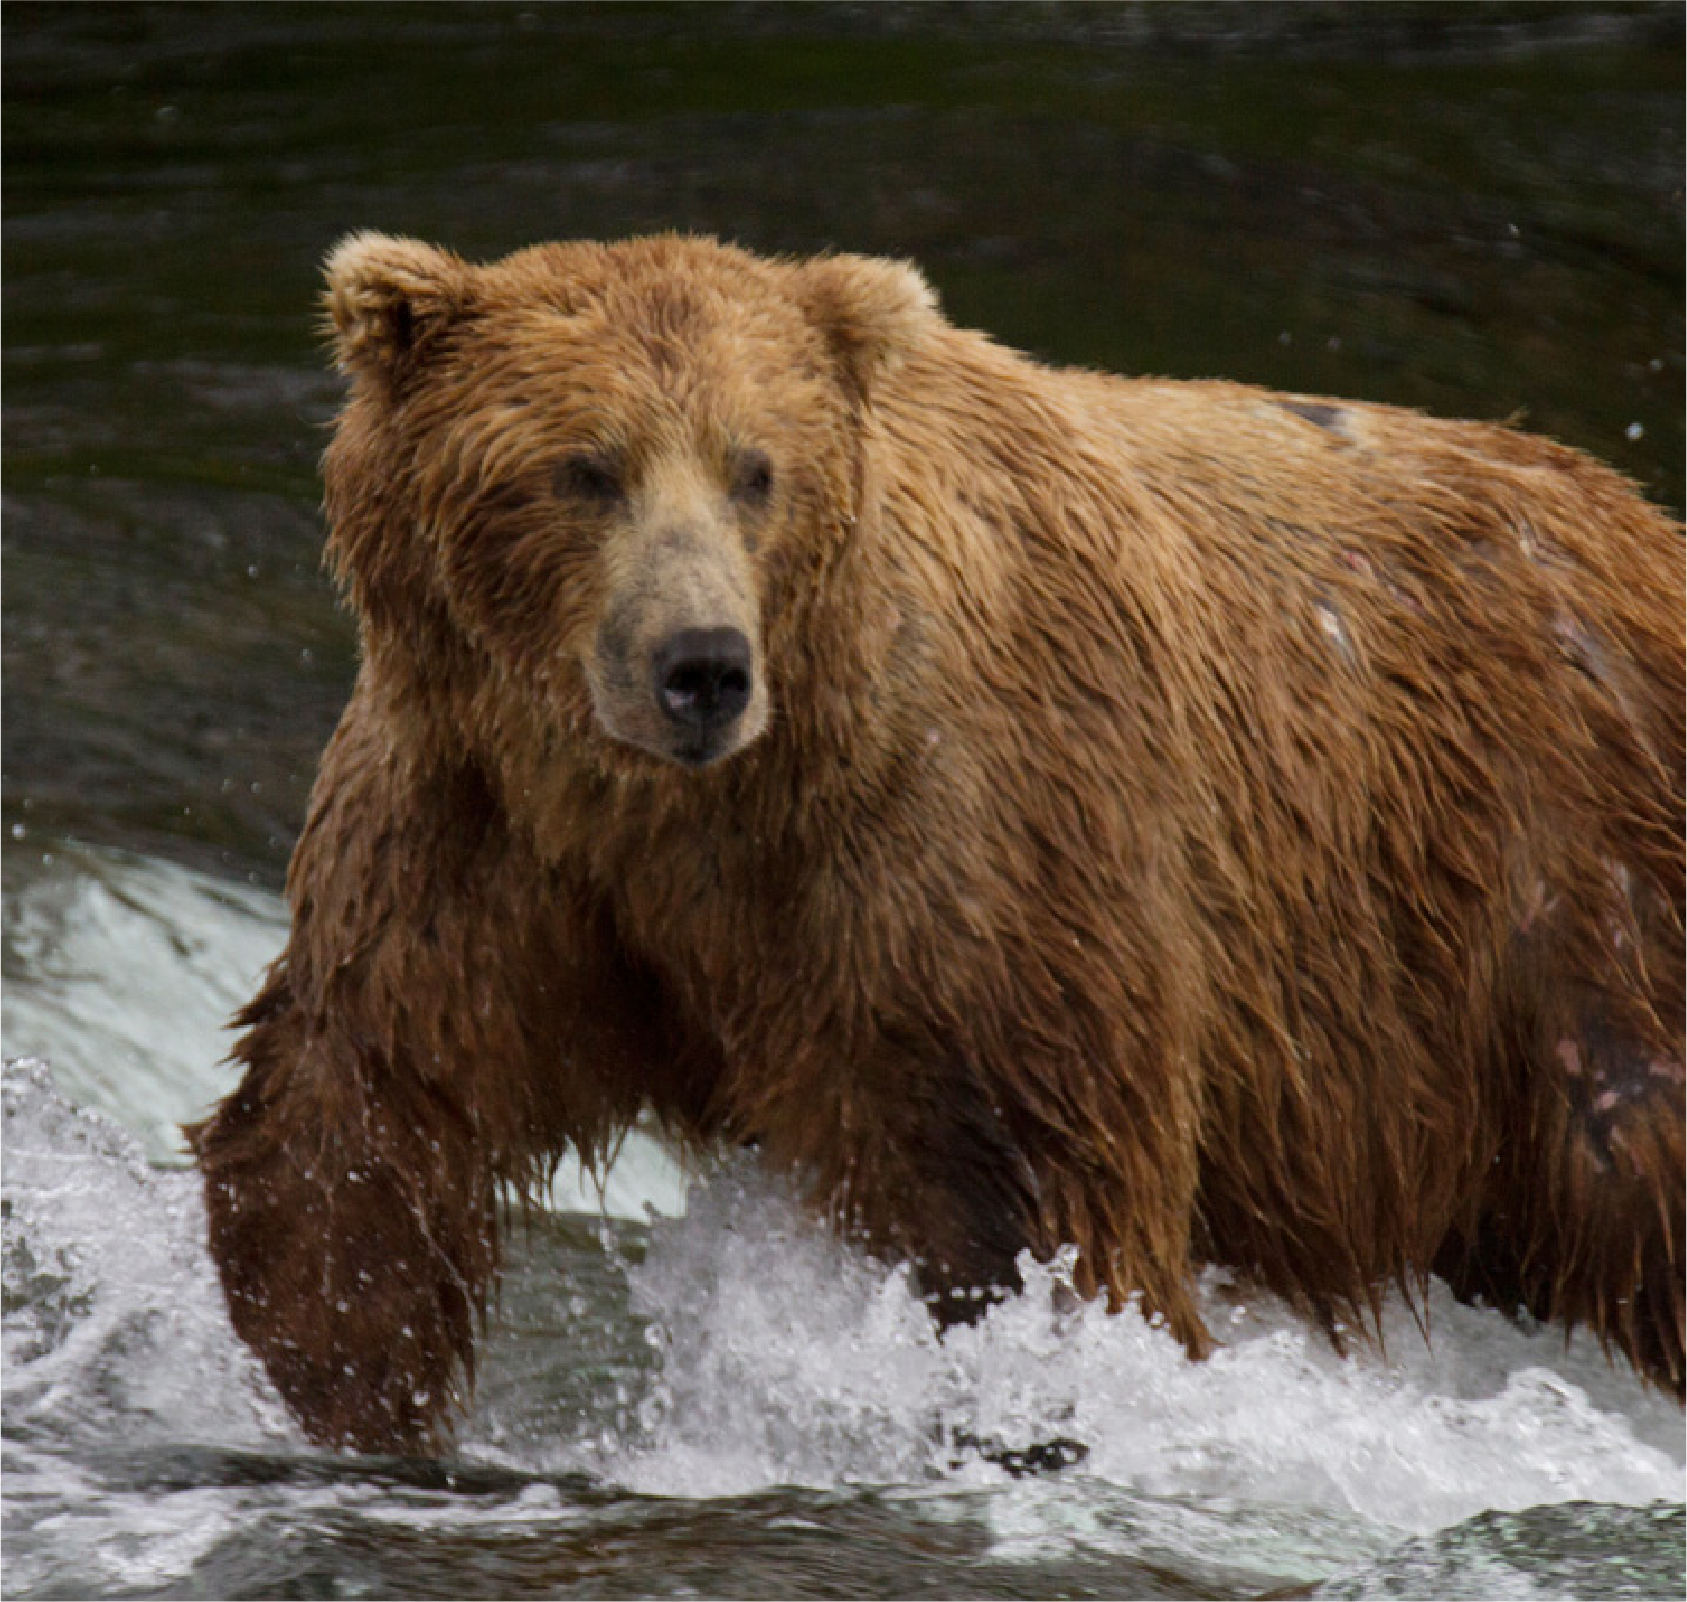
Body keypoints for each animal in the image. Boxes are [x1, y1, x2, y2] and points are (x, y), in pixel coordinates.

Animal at [192, 229, 1687, 1455]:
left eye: (754, 468)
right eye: (584, 467)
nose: (699, 665)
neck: (693, 807)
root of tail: (1637, 517)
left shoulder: (966, 849)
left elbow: (1028, 1203)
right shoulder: (482, 827)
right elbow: (361, 1113)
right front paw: (333, 1392)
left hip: (1566, 892)